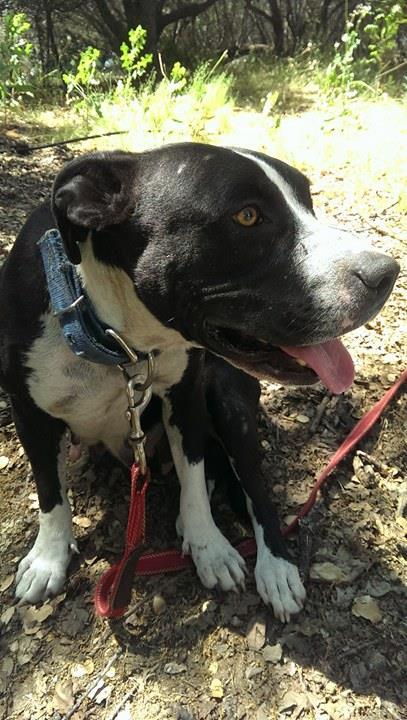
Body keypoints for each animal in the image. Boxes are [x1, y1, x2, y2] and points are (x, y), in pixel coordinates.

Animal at [0, 143, 402, 620]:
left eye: (308, 200)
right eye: (247, 216)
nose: (386, 273)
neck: (115, 338)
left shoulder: (187, 395)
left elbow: (192, 475)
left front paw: (209, 544)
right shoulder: (29, 415)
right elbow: (50, 492)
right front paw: (49, 556)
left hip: (230, 401)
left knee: (252, 486)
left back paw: (275, 568)